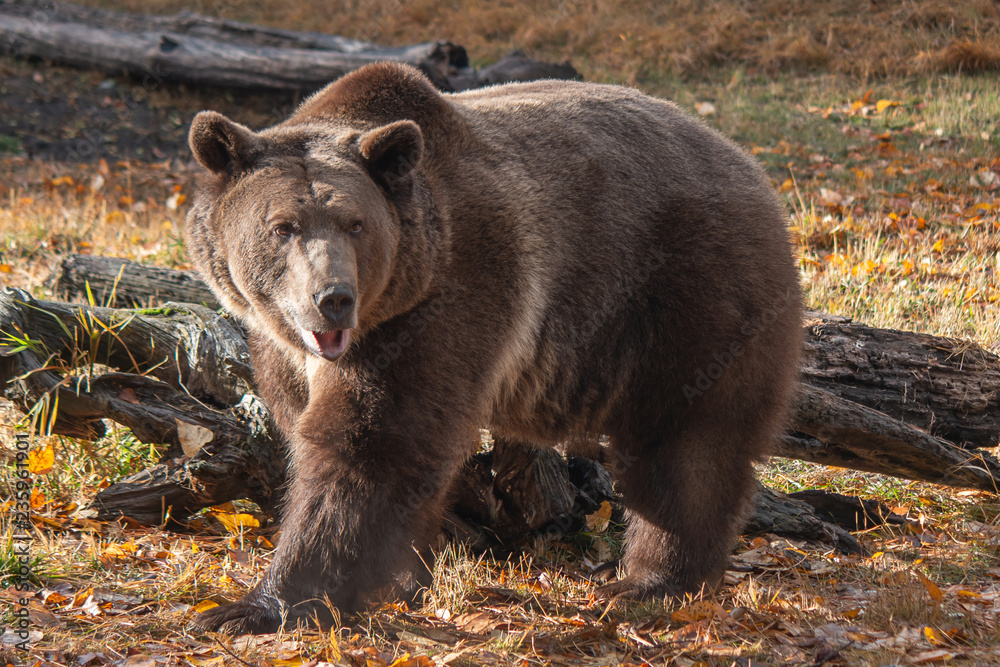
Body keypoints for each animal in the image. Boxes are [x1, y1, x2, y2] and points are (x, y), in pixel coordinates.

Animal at [185, 62, 802, 635]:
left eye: (355, 224)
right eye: (282, 227)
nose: (332, 298)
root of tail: (748, 164)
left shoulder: (447, 299)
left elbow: (372, 443)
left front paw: (257, 605)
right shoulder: (286, 349)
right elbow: (315, 425)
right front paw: (405, 578)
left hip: (689, 290)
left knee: (688, 442)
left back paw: (653, 582)